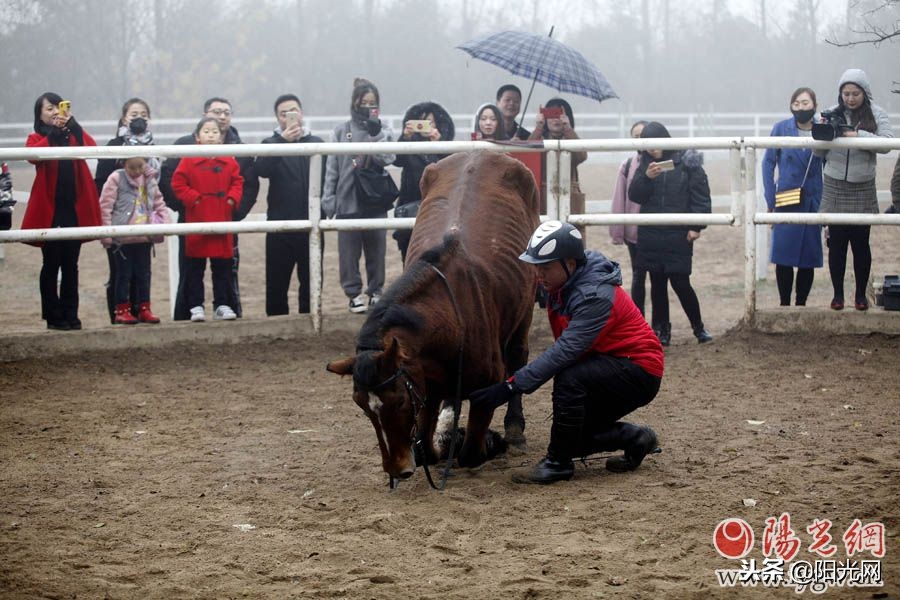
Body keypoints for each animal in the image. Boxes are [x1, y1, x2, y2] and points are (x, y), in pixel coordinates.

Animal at [326, 151, 540, 484]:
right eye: (362, 407)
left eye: (399, 400)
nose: (396, 469)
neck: (451, 315)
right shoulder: (425, 384)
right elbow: (426, 447)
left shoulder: (485, 385)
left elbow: (470, 452)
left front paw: (489, 442)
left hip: (524, 312)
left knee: (518, 358)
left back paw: (515, 430)